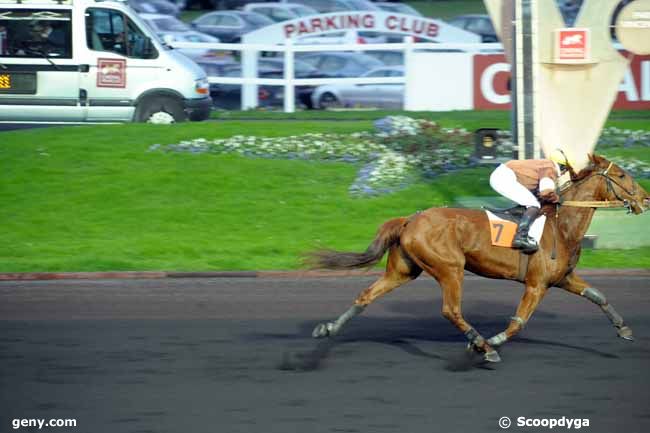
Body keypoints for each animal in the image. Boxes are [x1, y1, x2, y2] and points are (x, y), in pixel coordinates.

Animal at [308, 155, 648, 362]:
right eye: (621, 175)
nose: (645, 198)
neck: (562, 225)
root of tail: (410, 218)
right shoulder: (537, 284)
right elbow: (518, 322)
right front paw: (492, 342)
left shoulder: (562, 278)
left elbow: (599, 295)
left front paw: (624, 330)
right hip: (450, 268)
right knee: (451, 310)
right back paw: (483, 346)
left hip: (403, 270)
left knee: (366, 295)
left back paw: (328, 329)